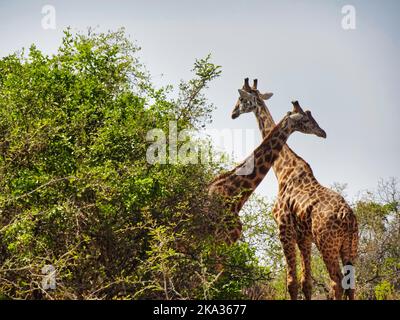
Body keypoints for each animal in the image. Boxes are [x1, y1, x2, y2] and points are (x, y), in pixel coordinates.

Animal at [231, 77, 360, 300]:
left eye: (241, 99)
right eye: (308, 118)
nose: (233, 113)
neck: (283, 170)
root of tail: (348, 217)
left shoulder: (284, 228)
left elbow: (291, 282)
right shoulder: (304, 237)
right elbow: (305, 282)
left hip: (327, 245)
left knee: (336, 282)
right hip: (351, 247)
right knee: (350, 285)